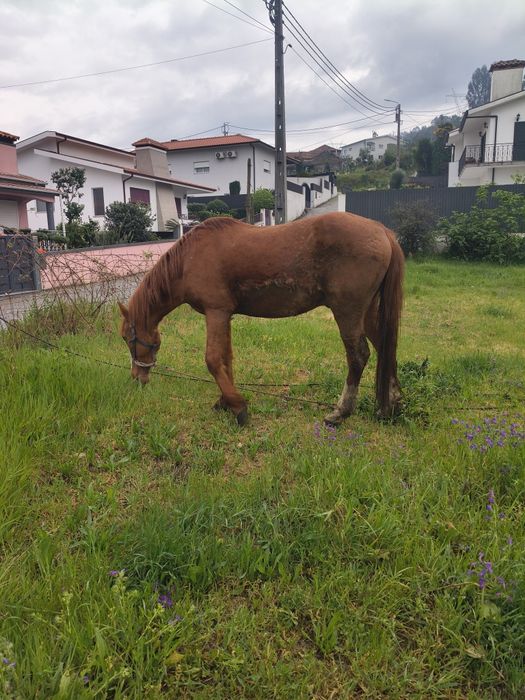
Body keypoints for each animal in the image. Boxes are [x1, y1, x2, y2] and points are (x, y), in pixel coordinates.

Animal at [118, 212, 404, 426]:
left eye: (126, 338)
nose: (136, 377)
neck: (190, 259)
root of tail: (383, 232)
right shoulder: (225, 315)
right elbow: (227, 358)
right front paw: (225, 402)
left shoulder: (216, 312)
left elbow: (213, 360)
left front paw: (238, 407)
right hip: (367, 313)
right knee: (385, 349)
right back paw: (390, 405)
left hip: (348, 313)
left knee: (359, 356)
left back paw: (341, 412)